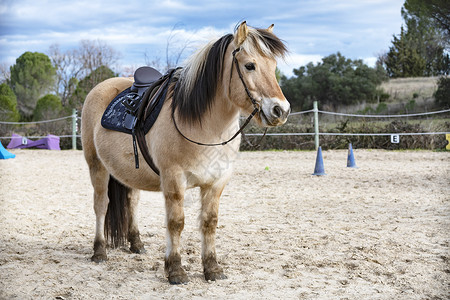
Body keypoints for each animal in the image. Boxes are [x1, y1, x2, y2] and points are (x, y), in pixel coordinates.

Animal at [81, 21, 290, 284]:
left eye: (273, 66)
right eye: (249, 65)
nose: (281, 110)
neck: (202, 125)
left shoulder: (216, 182)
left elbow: (209, 223)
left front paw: (212, 268)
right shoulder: (174, 179)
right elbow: (176, 223)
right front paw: (175, 269)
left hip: (129, 173)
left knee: (132, 202)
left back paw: (136, 243)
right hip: (96, 166)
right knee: (101, 205)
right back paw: (99, 251)